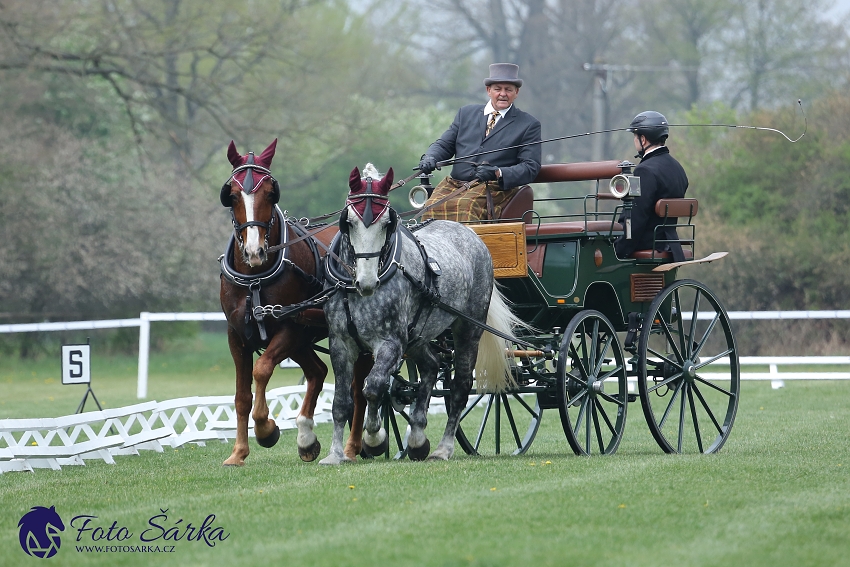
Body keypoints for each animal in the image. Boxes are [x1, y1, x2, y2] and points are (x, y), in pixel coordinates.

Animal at [217, 139, 340, 466]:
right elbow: (241, 396)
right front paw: (238, 452)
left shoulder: (290, 328)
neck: (255, 278)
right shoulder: (236, 335)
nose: (254, 251)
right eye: (231, 195)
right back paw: (306, 438)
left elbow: (261, 370)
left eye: (271, 193)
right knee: (317, 372)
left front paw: (266, 429)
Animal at [320, 165, 512, 466]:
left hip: (468, 329)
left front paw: (374, 438)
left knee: (460, 387)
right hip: (419, 334)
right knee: (432, 365)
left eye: (387, 223)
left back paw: (443, 448)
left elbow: (374, 386)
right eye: (348, 222)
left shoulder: (391, 342)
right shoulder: (340, 342)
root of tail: (470, 233)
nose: (367, 282)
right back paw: (418, 437)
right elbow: (341, 401)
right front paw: (335, 454)